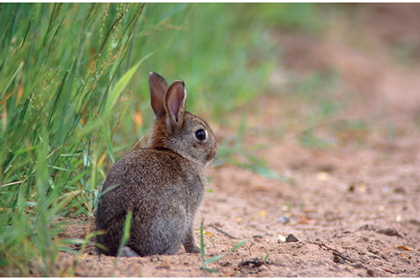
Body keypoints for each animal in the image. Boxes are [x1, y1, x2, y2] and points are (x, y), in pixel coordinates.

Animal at [94, 71, 217, 256]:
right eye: (201, 134)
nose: (214, 152)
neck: (176, 151)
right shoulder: (191, 208)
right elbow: (189, 232)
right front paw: (197, 249)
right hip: (176, 216)